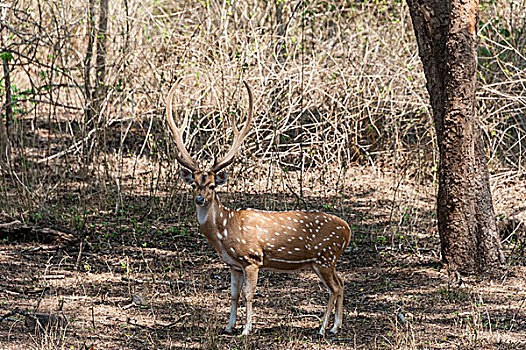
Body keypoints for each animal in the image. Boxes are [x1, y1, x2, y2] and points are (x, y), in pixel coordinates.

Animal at [167, 80, 352, 334]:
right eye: (194, 184)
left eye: (213, 185)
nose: (200, 199)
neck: (225, 231)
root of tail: (348, 230)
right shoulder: (233, 264)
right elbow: (233, 295)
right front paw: (229, 326)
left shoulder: (253, 258)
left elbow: (248, 294)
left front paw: (246, 329)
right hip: (325, 261)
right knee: (342, 282)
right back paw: (336, 326)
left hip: (325, 256)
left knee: (334, 288)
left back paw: (324, 328)